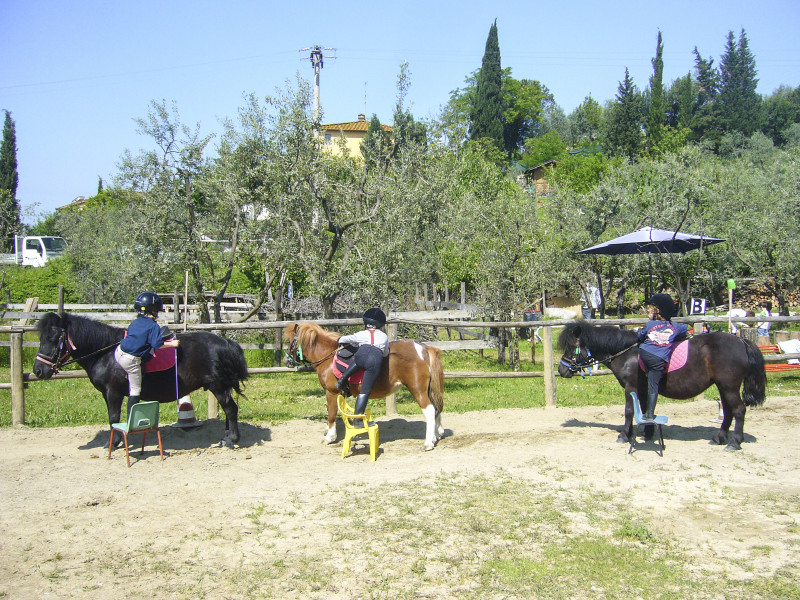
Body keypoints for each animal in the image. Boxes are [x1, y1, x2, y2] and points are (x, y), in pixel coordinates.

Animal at [33, 312, 250, 448]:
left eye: (52, 338)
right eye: (41, 338)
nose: (38, 370)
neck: (105, 354)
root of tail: (226, 342)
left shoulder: (113, 392)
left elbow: (113, 418)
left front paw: (114, 443)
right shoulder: (107, 394)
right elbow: (113, 418)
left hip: (218, 387)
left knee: (231, 409)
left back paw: (232, 439)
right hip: (221, 387)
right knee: (229, 410)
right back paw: (226, 434)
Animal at [282, 324, 446, 450]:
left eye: (290, 342)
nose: (286, 361)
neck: (328, 358)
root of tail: (423, 349)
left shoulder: (332, 392)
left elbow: (331, 415)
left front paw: (329, 437)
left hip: (418, 389)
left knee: (429, 411)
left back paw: (428, 443)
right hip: (427, 390)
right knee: (436, 409)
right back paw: (436, 436)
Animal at [556, 322, 768, 452]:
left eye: (571, 347)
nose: (562, 370)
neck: (628, 353)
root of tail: (741, 340)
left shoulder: (631, 388)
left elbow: (629, 411)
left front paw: (624, 435)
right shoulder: (642, 389)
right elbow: (645, 409)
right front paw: (648, 433)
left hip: (729, 386)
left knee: (739, 410)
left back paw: (734, 442)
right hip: (723, 387)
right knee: (728, 411)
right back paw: (719, 438)